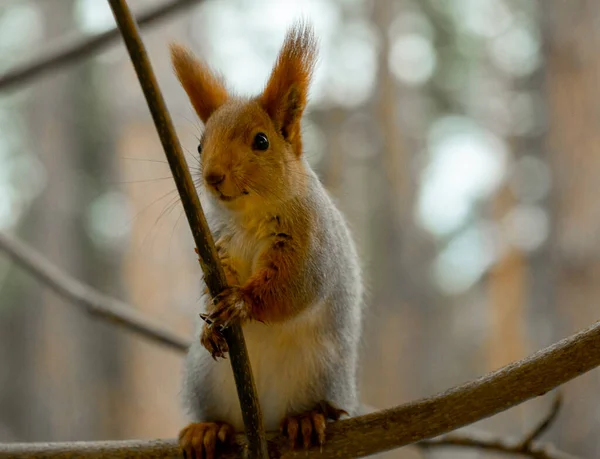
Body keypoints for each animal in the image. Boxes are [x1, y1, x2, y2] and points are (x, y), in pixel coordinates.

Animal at [171, 22, 364, 459]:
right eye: (199, 145)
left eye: (261, 141)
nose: (213, 176)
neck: (248, 217)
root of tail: (266, 422)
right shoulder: (216, 243)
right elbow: (211, 281)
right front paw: (211, 319)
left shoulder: (310, 240)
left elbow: (293, 287)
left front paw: (242, 302)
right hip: (203, 378)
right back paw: (207, 430)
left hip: (325, 371)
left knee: (321, 406)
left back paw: (307, 419)